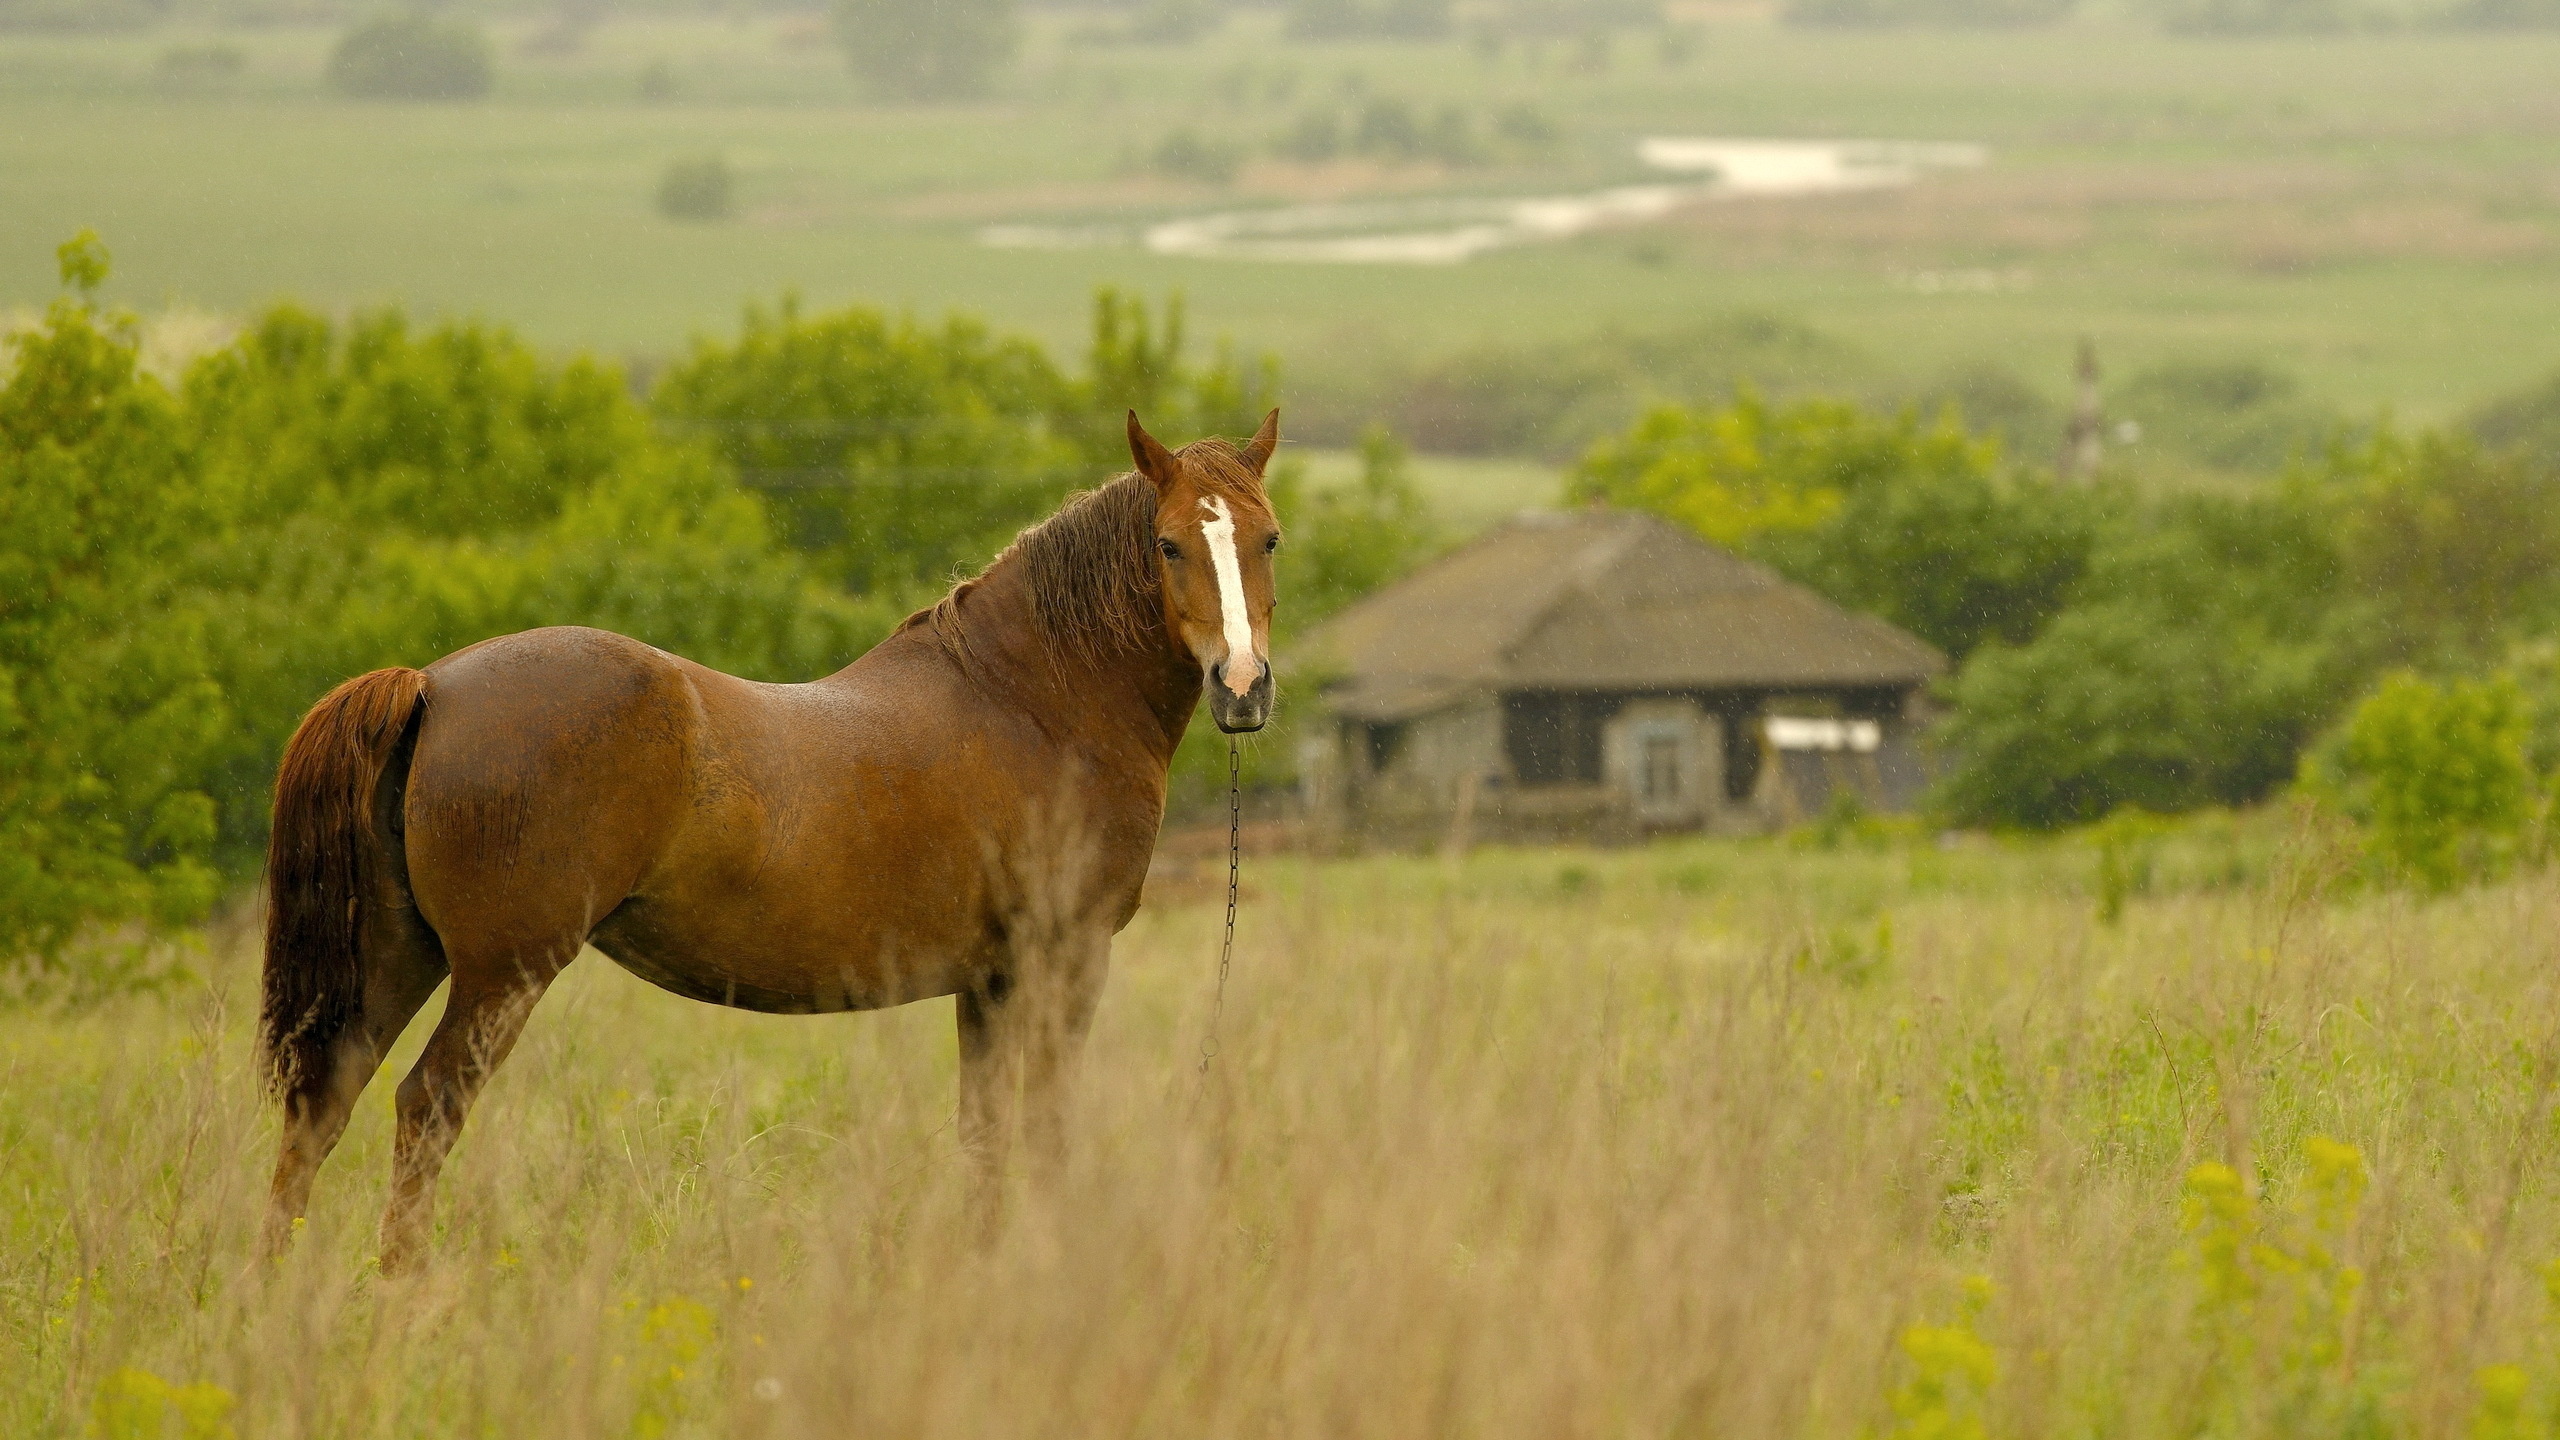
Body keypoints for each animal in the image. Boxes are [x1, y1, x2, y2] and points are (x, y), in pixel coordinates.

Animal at [259, 409, 1280, 1260]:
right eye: (1169, 544)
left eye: (1267, 538)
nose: (1242, 687)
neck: (1034, 698)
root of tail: (432, 685)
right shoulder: (1063, 959)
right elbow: (1046, 1128)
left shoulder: (988, 981)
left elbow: (986, 1135)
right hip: (500, 973)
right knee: (426, 1107)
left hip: (400, 954)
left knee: (323, 1105)